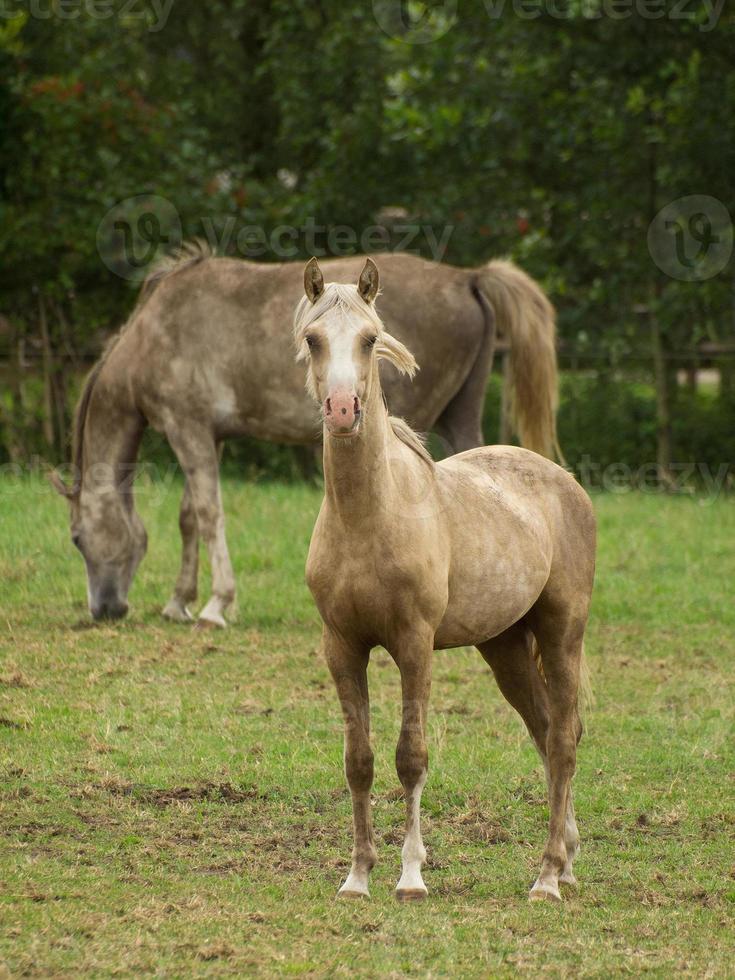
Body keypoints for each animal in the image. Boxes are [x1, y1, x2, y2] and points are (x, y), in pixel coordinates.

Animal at [51, 245, 560, 628]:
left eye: (76, 538)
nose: (105, 609)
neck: (153, 333)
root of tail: (466, 278)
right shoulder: (208, 435)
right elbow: (190, 517)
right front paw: (180, 602)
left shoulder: (186, 428)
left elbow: (209, 514)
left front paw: (216, 605)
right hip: (460, 416)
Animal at [296, 260, 596, 904]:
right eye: (312, 338)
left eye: (370, 338)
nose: (342, 409)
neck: (369, 518)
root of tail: (563, 480)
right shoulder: (342, 647)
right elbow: (359, 761)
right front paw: (357, 876)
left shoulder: (414, 645)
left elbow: (411, 756)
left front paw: (411, 876)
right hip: (505, 648)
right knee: (544, 729)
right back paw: (566, 860)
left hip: (562, 632)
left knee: (563, 738)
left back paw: (546, 879)